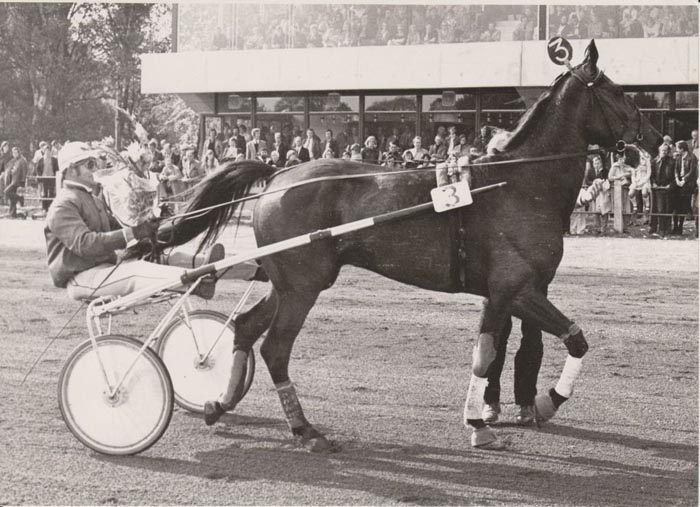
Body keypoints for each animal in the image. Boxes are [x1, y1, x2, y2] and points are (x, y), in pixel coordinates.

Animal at [157, 40, 662, 450]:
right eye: (618, 91)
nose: (655, 136)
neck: (518, 183)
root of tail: (280, 174)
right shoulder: (516, 288)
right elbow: (566, 341)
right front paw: (529, 408)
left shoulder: (502, 293)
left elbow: (495, 351)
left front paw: (496, 413)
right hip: (302, 286)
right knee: (275, 349)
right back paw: (304, 429)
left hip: (289, 282)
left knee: (245, 328)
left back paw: (219, 403)